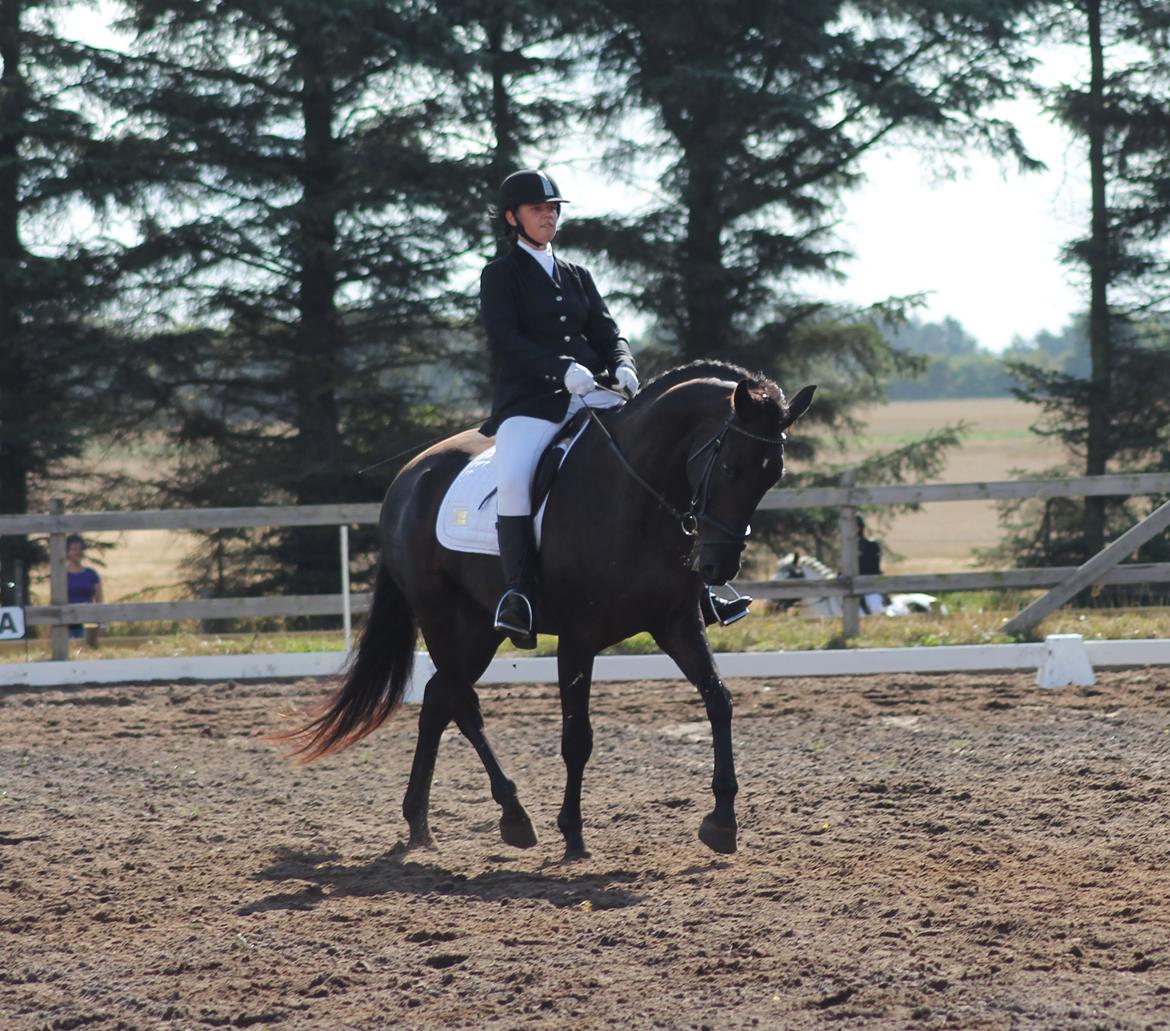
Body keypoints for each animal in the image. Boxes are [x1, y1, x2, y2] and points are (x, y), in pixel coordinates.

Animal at [281, 358, 814, 856]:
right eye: (729, 467)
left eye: (773, 476)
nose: (717, 566)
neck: (632, 493)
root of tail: (408, 478)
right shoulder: (578, 638)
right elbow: (577, 736)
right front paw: (573, 833)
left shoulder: (676, 623)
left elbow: (718, 700)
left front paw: (722, 821)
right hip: (438, 615)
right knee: (461, 703)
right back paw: (514, 816)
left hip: (479, 626)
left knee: (437, 699)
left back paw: (420, 825)